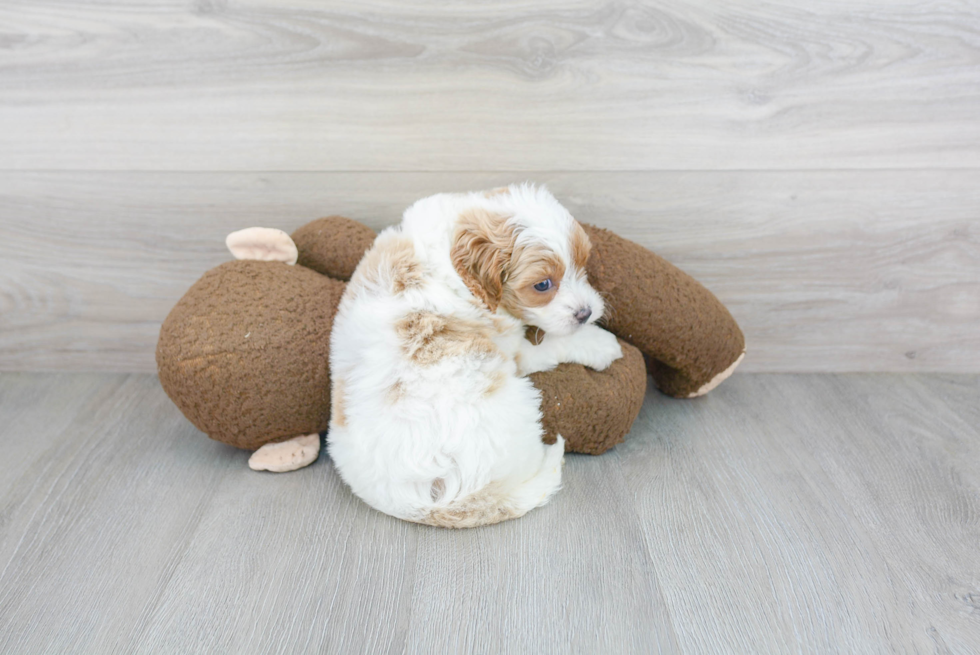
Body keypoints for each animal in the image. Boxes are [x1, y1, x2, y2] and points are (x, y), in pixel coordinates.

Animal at [328, 183, 620, 528]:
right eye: (543, 285)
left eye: (584, 263)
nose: (586, 313)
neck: (450, 248)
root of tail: (413, 504)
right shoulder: (511, 344)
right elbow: (554, 343)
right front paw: (602, 344)